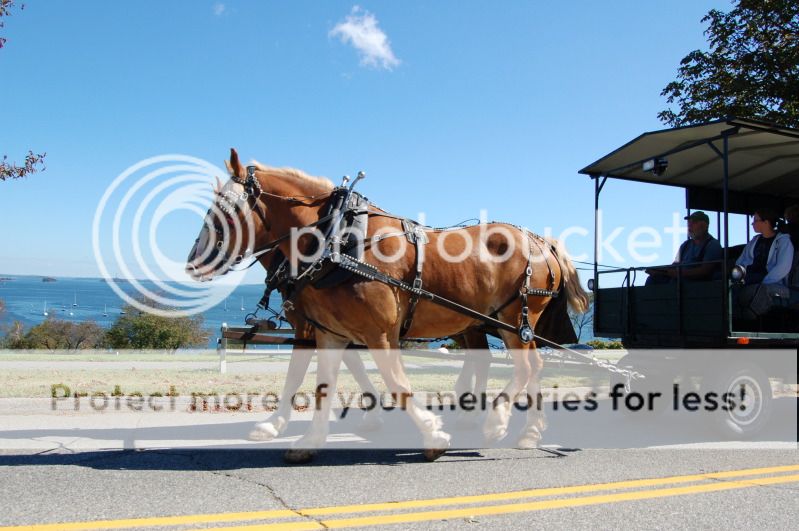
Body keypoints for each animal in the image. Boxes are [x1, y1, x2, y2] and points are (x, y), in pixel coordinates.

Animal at [188, 149, 588, 462]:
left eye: (224, 211)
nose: (193, 262)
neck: (339, 241)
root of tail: (540, 239)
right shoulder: (329, 331)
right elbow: (318, 383)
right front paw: (309, 439)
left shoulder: (375, 332)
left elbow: (395, 382)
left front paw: (432, 434)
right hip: (497, 323)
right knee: (524, 367)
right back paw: (525, 430)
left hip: (515, 319)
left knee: (527, 367)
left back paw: (497, 422)